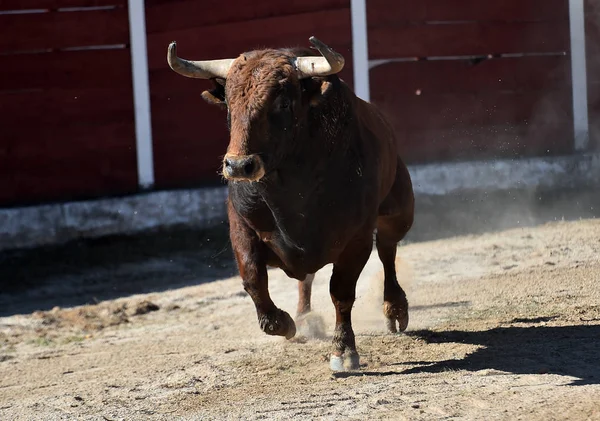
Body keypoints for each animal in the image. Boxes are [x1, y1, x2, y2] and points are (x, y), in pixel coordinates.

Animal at [166, 37, 414, 370]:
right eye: (229, 104)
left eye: (282, 104)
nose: (238, 166)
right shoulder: (242, 227)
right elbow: (253, 279)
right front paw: (283, 324)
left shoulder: (357, 237)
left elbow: (342, 291)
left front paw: (343, 350)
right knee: (306, 279)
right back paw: (304, 317)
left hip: (398, 210)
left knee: (388, 249)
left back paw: (395, 308)